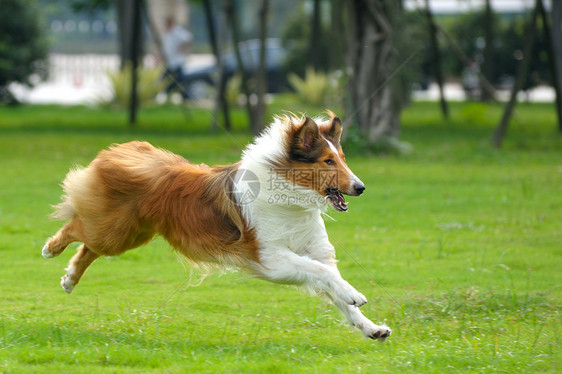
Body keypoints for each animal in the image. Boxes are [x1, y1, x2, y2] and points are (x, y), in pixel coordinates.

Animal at [42, 112, 390, 340]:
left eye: (342, 158)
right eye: (327, 162)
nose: (360, 187)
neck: (291, 198)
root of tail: (123, 149)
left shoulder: (313, 253)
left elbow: (334, 286)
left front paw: (371, 327)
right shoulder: (271, 259)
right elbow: (325, 274)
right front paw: (356, 294)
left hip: (131, 234)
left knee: (88, 247)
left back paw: (69, 280)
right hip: (115, 230)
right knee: (76, 228)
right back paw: (51, 249)